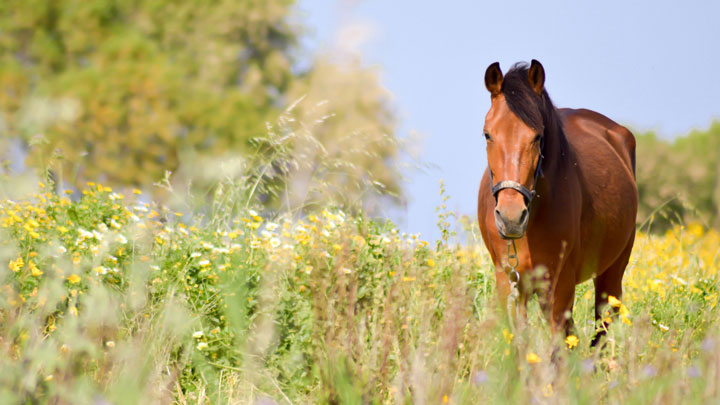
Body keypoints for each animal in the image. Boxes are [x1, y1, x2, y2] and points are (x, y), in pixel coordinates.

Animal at [478, 57, 636, 340]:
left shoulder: (559, 286)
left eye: (537, 136)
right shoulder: (508, 282)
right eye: (487, 134)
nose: (511, 217)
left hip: (612, 273)